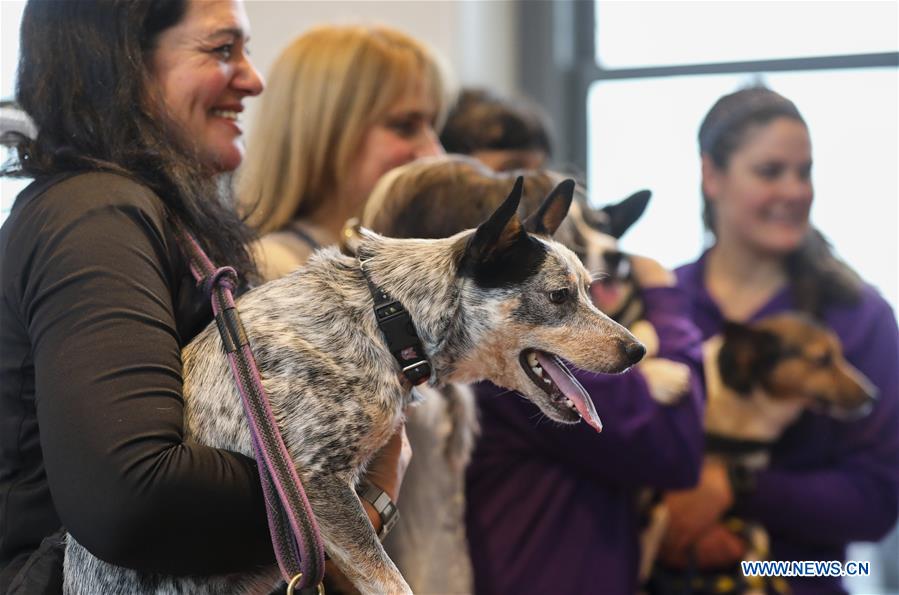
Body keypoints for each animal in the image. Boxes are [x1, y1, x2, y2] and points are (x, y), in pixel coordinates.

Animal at [65, 178, 648, 595]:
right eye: (558, 296)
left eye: (589, 291)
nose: (637, 351)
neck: (389, 318)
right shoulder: (312, 481)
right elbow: (392, 582)